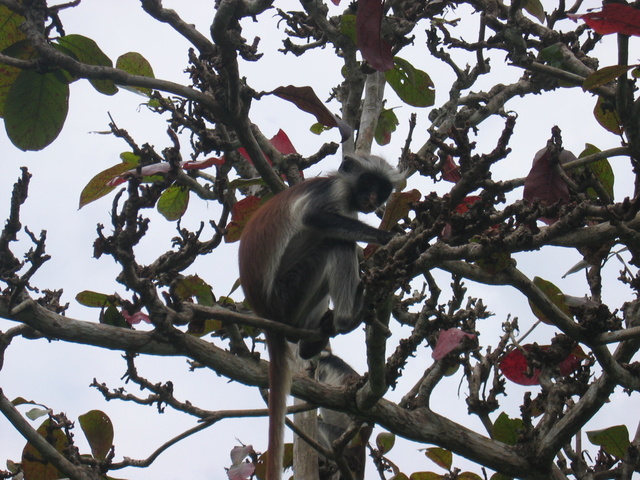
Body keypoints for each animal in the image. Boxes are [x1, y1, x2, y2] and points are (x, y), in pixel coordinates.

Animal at [238, 154, 402, 480]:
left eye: (382, 189)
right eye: (367, 183)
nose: (372, 199)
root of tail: (265, 311)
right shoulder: (331, 193)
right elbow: (313, 217)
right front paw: (386, 236)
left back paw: (313, 339)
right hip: (289, 292)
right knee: (334, 242)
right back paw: (347, 318)